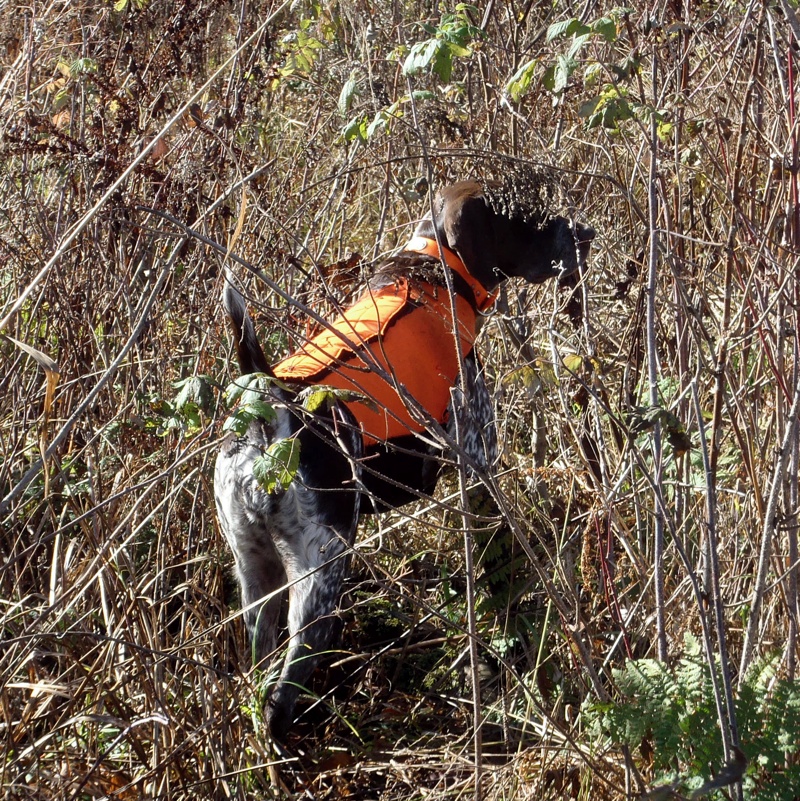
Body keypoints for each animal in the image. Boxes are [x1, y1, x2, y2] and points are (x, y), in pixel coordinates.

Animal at [214, 180, 592, 736]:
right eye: (527, 216)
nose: (582, 232)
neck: (435, 270)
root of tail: (269, 407)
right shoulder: (477, 465)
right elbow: (495, 563)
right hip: (320, 576)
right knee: (281, 695)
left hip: (255, 575)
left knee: (261, 669)